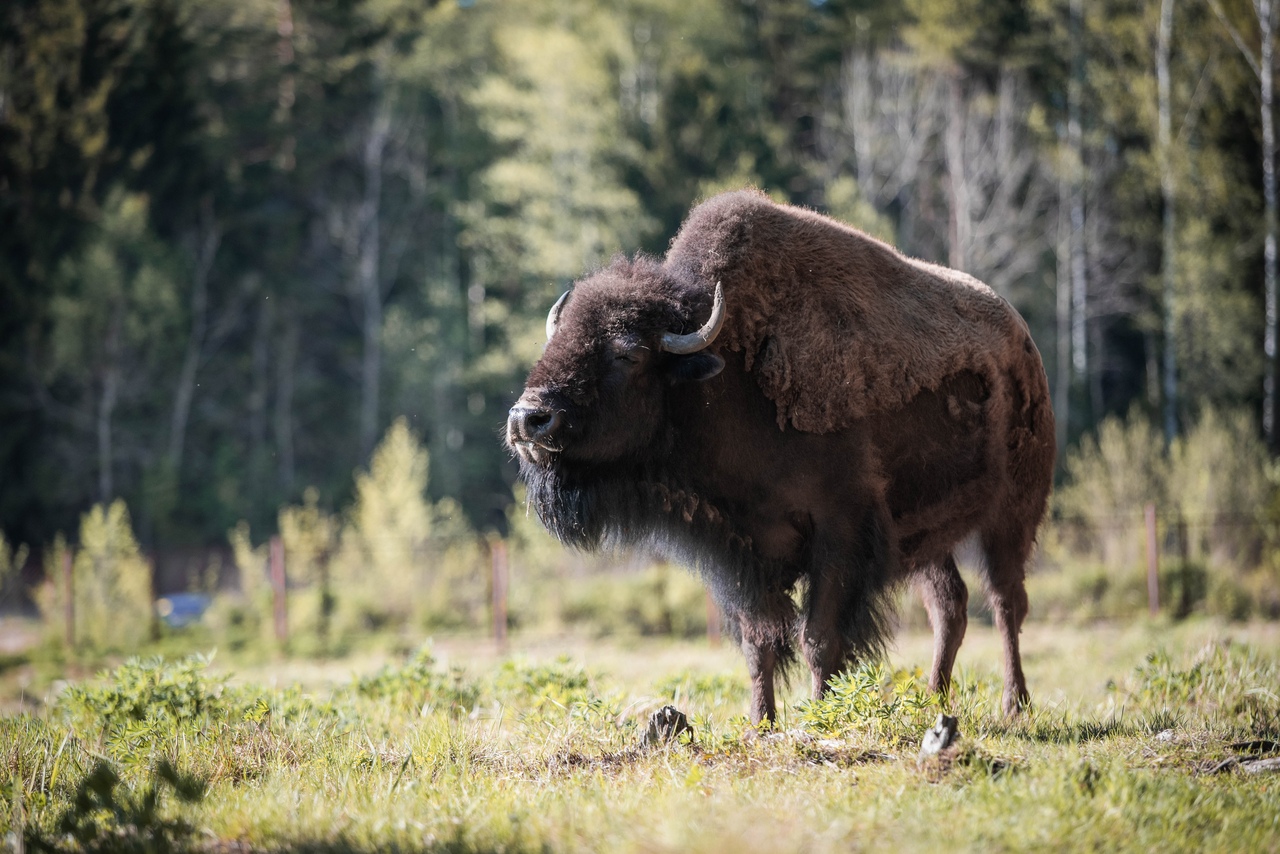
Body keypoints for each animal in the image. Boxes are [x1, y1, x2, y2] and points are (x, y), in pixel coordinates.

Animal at [504, 190, 1054, 727]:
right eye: (560, 337)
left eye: (627, 354)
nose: (529, 419)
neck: (726, 379)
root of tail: (1023, 342)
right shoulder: (745, 549)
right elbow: (759, 642)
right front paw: (762, 723)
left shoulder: (839, 533)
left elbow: (819, 638)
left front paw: (820, 718)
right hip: (924, 534)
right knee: (951, 606)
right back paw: (935, 700)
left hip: (1012, 513)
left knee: (1006, 602)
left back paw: (1015, 704)